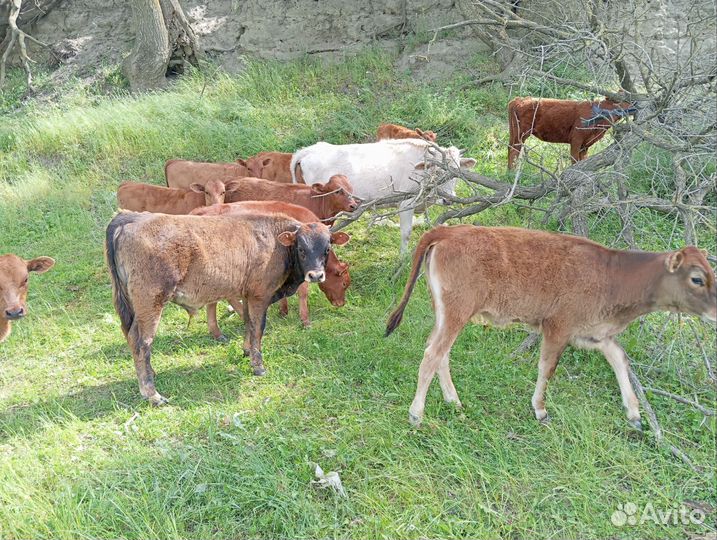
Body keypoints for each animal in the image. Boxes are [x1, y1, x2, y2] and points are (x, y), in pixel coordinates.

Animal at [191, 201, 351, 332]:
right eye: (344, 283)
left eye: (327, 249)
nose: (341, 303)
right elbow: (303, 293)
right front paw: (305, 321)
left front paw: (283, 311)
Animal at [291, 139, 476, 252]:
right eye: (437, 172)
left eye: (457, 173)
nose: (448, 199)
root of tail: (307, 150)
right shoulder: (406, 203)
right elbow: (406, 232)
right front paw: (403, 258)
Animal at [386, 225, 716, 428]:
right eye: (696, 278)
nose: (715, 310)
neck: (613, 276)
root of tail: (449, 230)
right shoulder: (558, 326)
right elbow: (548, 367)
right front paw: (540, 409)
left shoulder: (595, 333)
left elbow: (619, 359)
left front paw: (634, 413)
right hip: (457, 311)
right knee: (433, 354)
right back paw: (417, 414)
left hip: (447, 313)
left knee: (440, 353)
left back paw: (453, 401)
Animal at [507, 96, 636, 169]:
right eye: (623, 100)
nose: (635, 104)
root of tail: (519, 100)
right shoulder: (576, 139)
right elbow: (574, 160)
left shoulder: (585, 145)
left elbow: (583, 160)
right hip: (521, 133)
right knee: (514, 150)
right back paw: (512, 173)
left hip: (514, 132)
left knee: (511, 148)